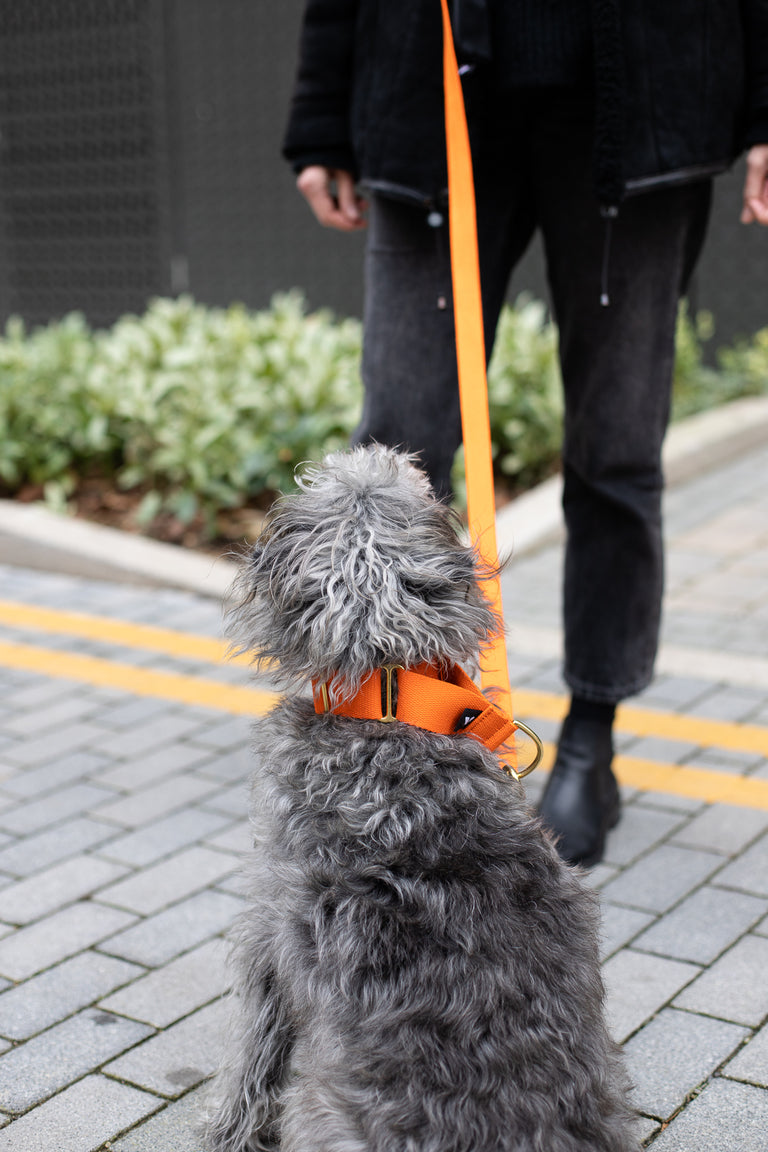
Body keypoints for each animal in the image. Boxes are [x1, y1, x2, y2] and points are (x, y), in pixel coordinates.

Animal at [202, 444, 635, 1147]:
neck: (388, 704)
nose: (375, 452)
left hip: (318, 1108)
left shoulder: (269, 930)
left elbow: (252, 1054)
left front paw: (226, 1129)